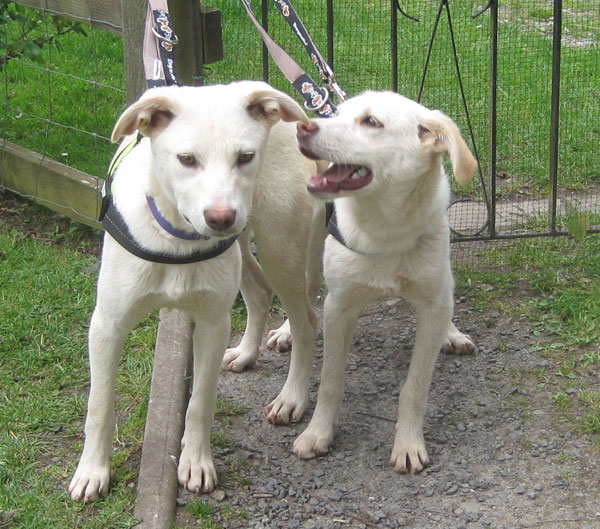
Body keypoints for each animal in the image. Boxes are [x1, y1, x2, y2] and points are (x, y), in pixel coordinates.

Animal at [68, 80, 322, 502]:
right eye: (186, 159)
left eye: (246, 157)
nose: (220, 218)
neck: (176, 236)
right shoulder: (107, 325)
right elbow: (99, 405)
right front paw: (92, 471)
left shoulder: (212, 324)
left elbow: (200, 403)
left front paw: (197, 463)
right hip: (244, 246)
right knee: (260, 292)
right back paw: (246, 353)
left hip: (278, 246)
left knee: (306, 320)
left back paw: (292, 397)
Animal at [292, 88, 476, 472]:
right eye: (338, 113)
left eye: (371, 122)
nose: (302, 126)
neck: (386, 229)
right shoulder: (338, 308)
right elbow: (330, 381)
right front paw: (318, 434)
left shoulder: (432, 303)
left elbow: (415, 388)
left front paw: (408, 444)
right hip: (309, 241)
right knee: (304, 290)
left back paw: (451, 332)